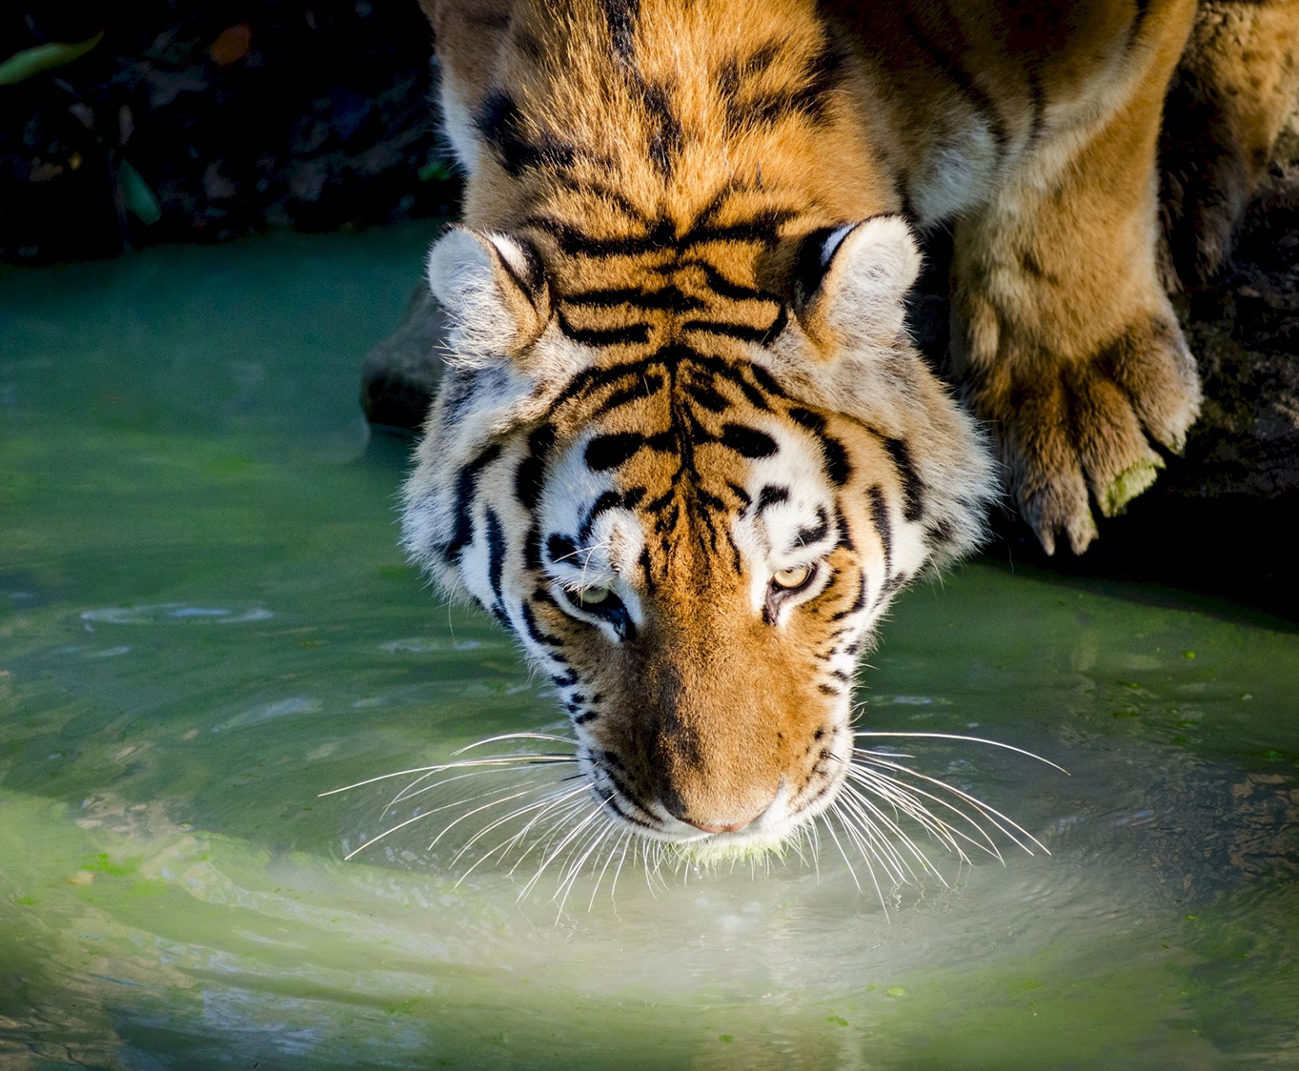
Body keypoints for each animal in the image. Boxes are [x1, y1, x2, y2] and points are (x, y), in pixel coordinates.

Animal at [397, 2, 1299, 852]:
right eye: (589, 597)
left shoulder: (1102, 44)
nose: (724, 823)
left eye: (795, 578)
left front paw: (1077, 401)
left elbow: (1087, 148)